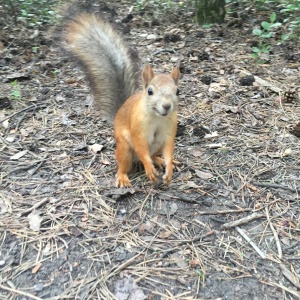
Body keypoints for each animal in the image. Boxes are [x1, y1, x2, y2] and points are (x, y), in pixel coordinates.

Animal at [66, 14, 180, 188]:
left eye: (177, 91)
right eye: (150, 91)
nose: (167, 106)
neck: (157, 117)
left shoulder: (168, 131)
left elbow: (169, 149)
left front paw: (169, 169)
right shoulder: (138, 129)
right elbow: (141, 147)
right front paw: (149, 169)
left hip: (157, 146)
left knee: (154, 154)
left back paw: (160, 160)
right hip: (125, 149)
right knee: (124, 164)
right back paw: (122, 177)